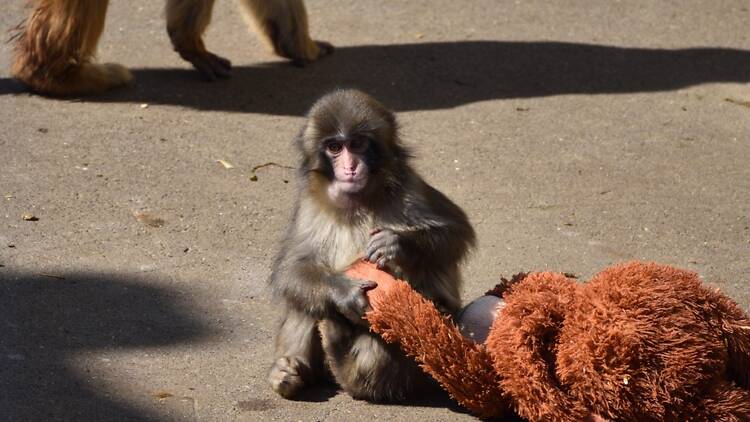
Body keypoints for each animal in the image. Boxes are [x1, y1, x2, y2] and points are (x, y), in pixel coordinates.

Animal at [268, 89, 476, 401]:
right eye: (334, 147)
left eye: (356, 144)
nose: (350, 167)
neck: (358, 201)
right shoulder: (308, 204)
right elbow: (292, 269)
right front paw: (343, 292)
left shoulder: (410, 187)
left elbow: (456, 231)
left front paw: (397, 245)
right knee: (306, 300)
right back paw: (291, 373)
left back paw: (352, 374)